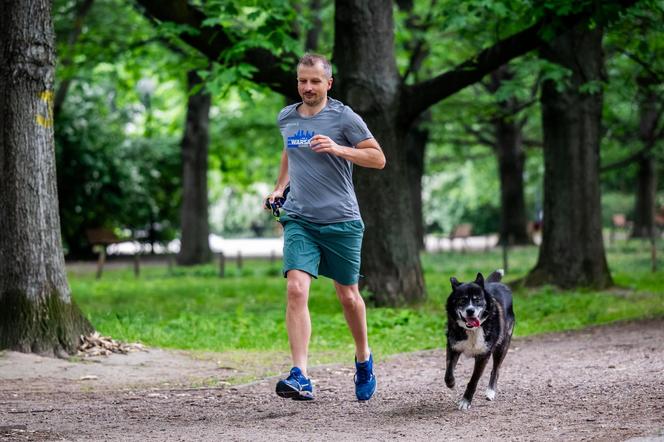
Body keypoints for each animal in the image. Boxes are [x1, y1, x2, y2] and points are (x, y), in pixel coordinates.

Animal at [444, 270, 516, 410]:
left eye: (477, 300)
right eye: (462, 300)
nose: (470, 310)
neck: (472, 330)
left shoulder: (483, 356)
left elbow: (473, 381)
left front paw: (465, 401)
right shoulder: (453, 347)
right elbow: (448, 371)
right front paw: (451, 383)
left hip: (502, 346)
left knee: (496, 370)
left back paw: (490, 391)